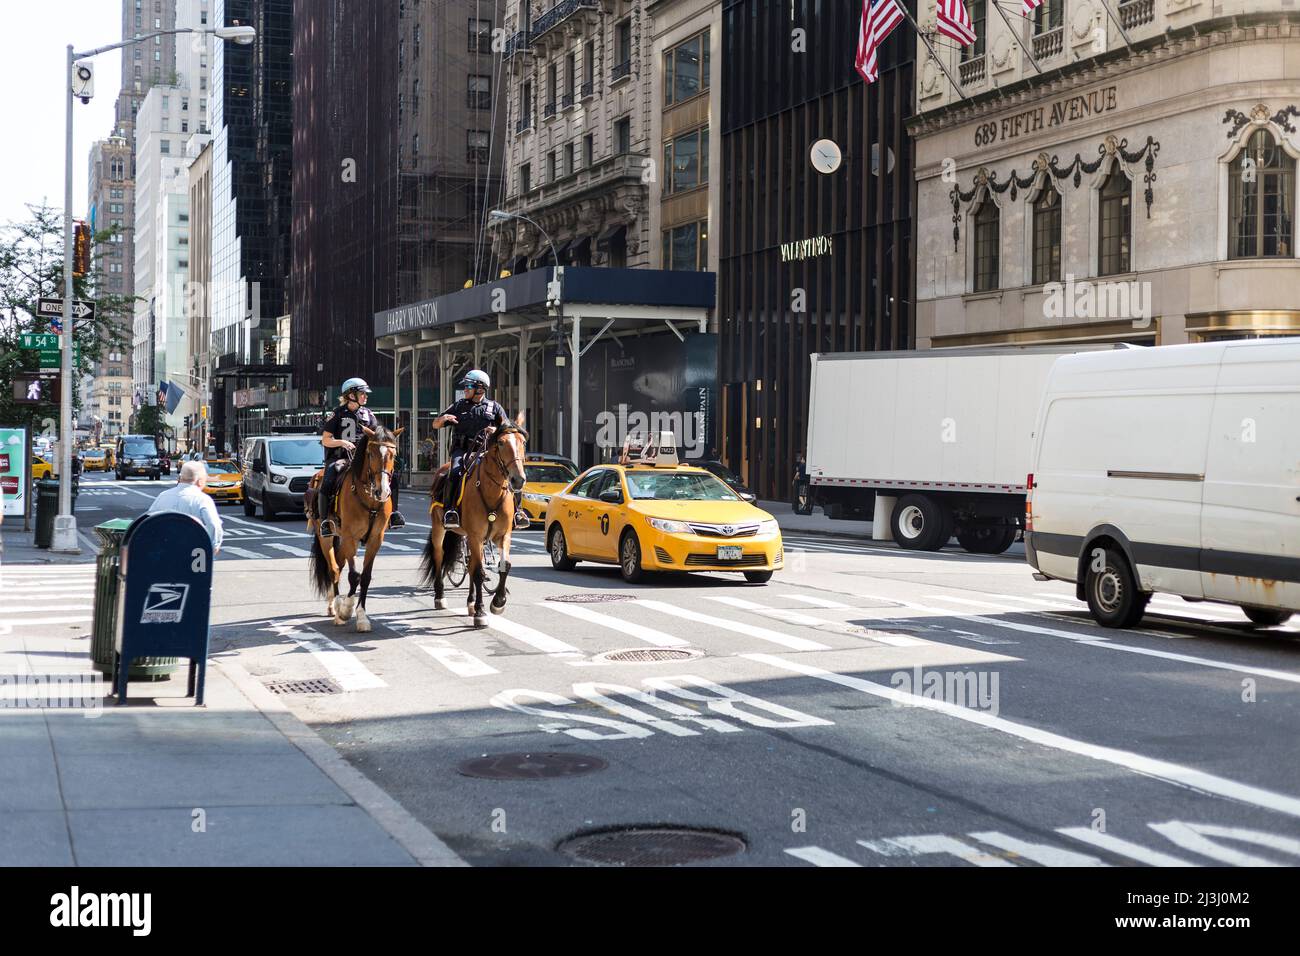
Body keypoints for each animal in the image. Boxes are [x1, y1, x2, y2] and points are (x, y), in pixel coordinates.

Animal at [308, 421, 403, 632]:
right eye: (371, 453)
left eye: (393, 455)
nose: (382, 491)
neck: (369, 499)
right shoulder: (350, 538)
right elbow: (354, 576)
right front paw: (346, 609)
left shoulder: (375, 539)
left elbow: (365, 577)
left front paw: (362, 616)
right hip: (327, 536)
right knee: (334, 568)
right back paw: (336, 606)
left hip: (341, 539)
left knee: (339, 564)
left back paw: (333, 604)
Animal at [423, 413, 530, 629]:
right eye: (501, 442)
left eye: (523, 442)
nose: (518, 480)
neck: (492, 490)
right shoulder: (476, 535)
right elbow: (480, 572)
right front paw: (481, 612)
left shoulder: (502, 536)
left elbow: (504, 566)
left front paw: (498, 602)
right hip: (440, 528)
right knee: (440, 555)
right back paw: (440, 597)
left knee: (471, 564)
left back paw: (470, 602)